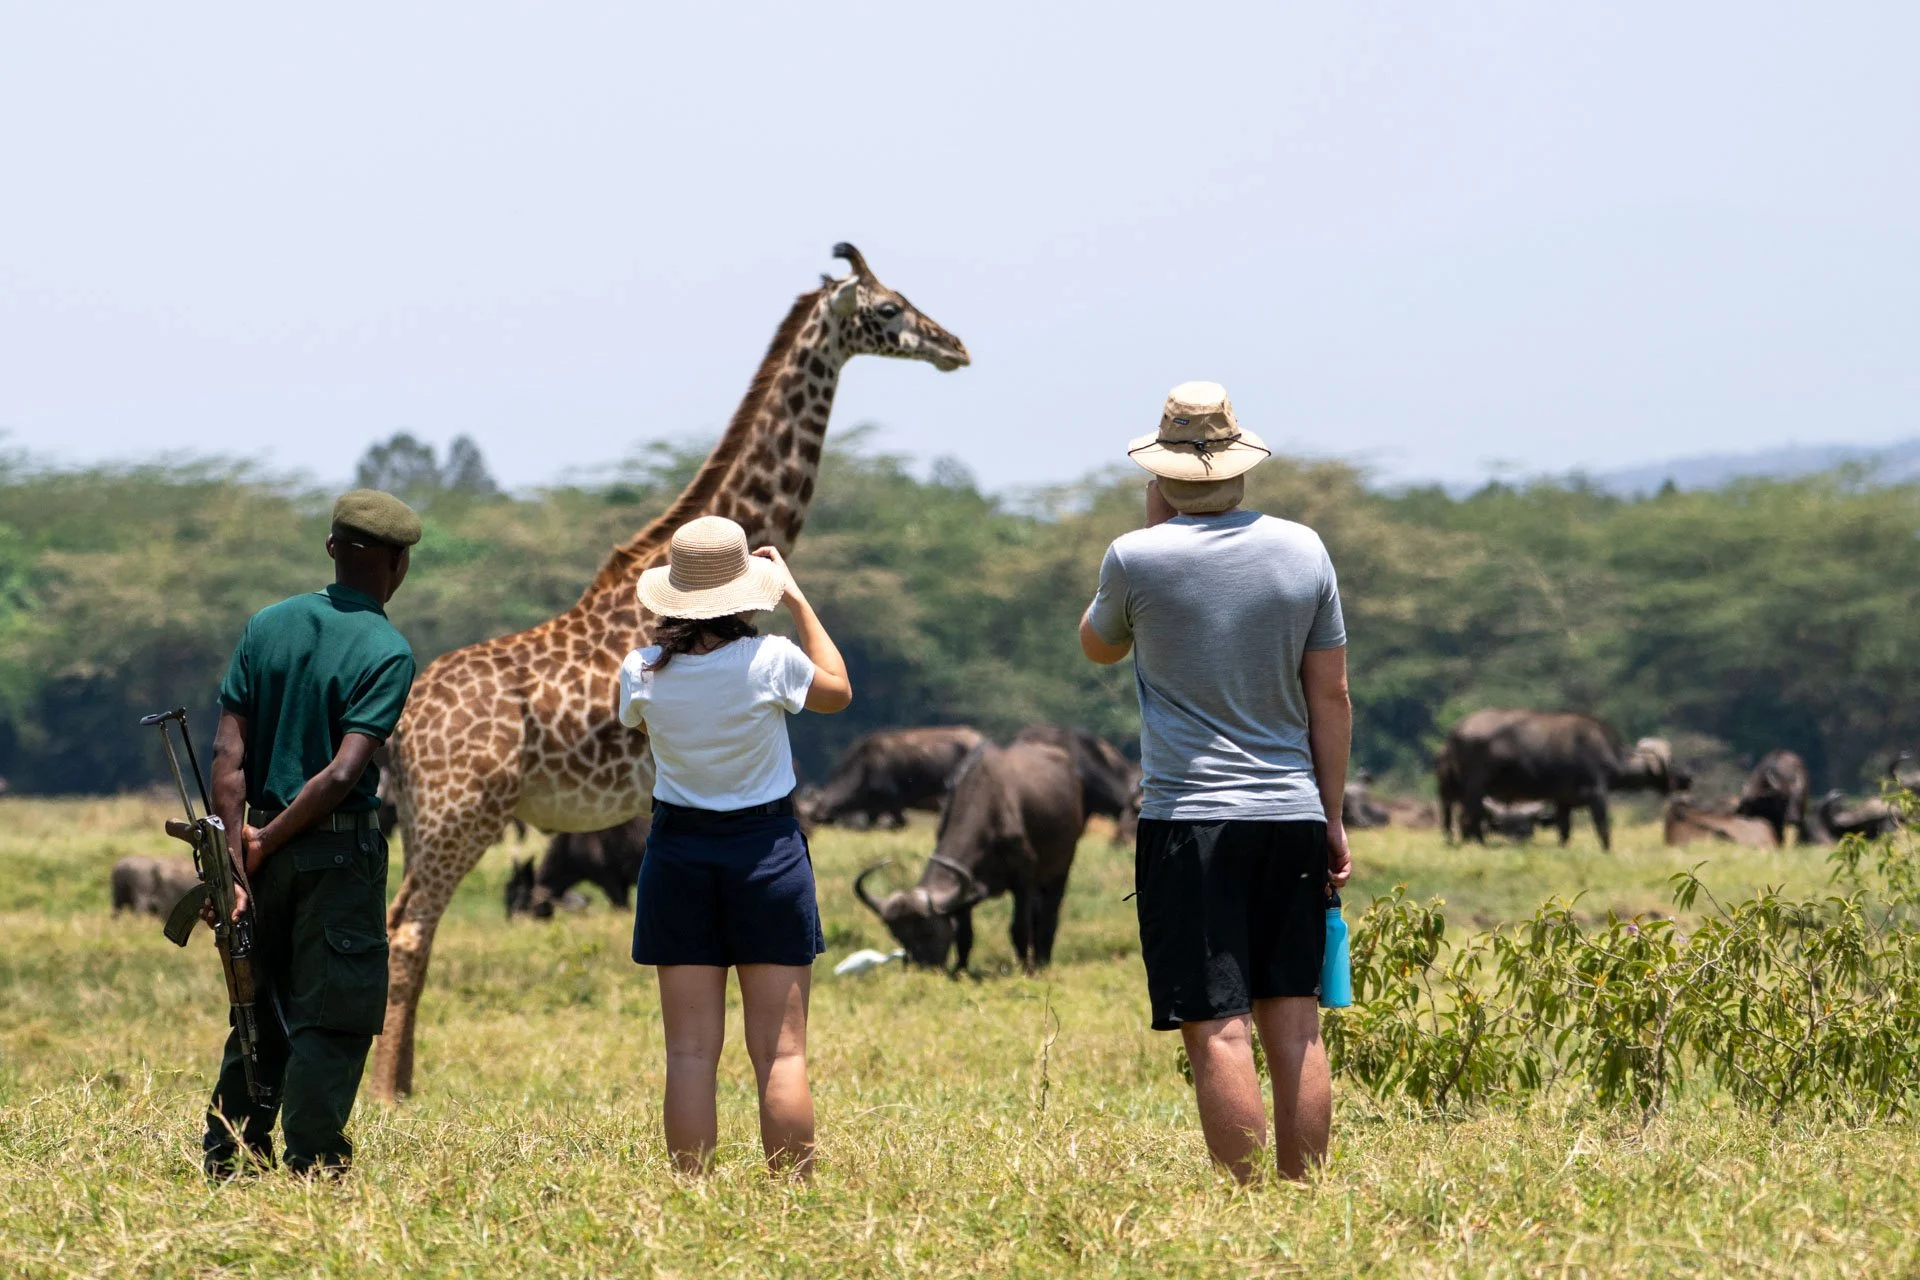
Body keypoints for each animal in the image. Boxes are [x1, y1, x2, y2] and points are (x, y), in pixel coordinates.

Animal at [853, 739, 1083, 973]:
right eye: (898, 936)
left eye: (929, 931)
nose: (921, 968)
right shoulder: (965, 887)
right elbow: (964, 935)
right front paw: (960, 970)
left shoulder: (1023, 880)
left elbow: (1019, 928)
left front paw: (1024, 969)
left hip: (1060, 869)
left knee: (1049, 914)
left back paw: (1042, 960)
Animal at [1438, 709, 1689, 851]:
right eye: (1673, 763)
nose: (1688, 779)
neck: (1609, 753)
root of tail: (1456, 730)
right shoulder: (1597, 793)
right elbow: (1602, 826)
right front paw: (1607, 850)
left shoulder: (1563, 801)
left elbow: (1564, 830)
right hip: (1474, 787)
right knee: (1470, 816)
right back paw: (1479, 844)